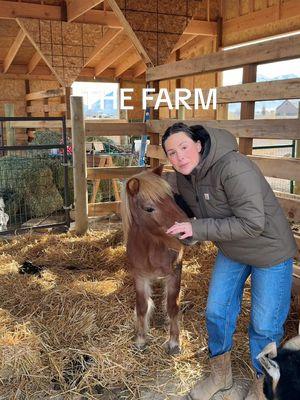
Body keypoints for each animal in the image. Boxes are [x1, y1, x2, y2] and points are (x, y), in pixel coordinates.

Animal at [121, 165, 193, 354]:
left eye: (172, 198)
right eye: (148, 208)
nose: (188, 232)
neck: (150, 248)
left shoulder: (175, 272)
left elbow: (172, 306)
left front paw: (174, 342)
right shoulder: (139, 276)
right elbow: (142, 306)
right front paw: (140, 339)